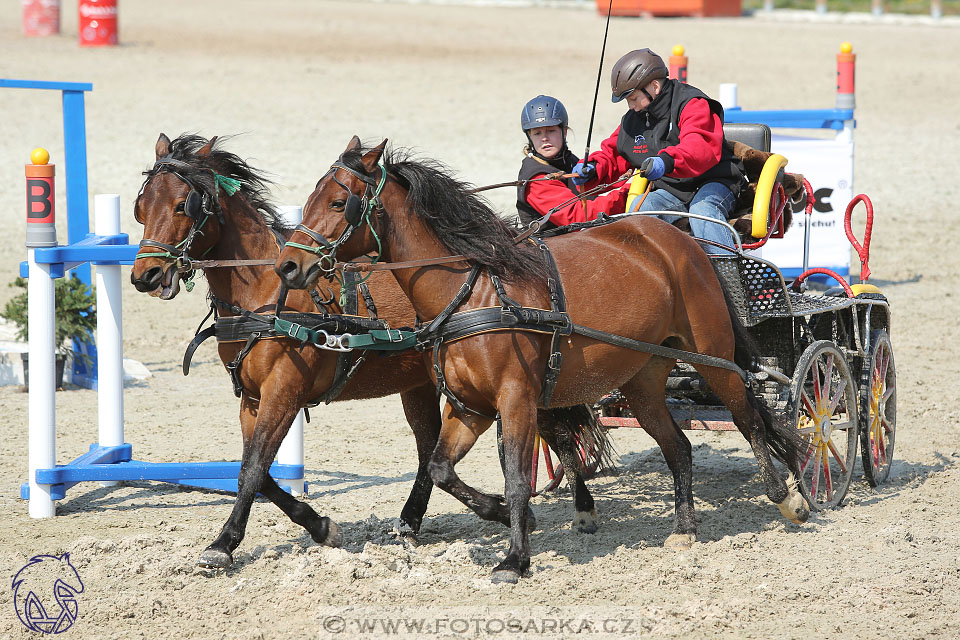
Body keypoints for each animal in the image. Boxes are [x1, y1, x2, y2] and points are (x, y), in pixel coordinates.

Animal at [130, 132, 604, 568]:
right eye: (141, 208)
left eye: (183, 206)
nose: (144, 276)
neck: (266, 296)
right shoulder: (251, 399)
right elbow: (257, 472)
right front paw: (319, 526)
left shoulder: (283, 392)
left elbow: (252, 470)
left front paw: (224, 542)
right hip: (420, 384)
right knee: (430, 452)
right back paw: (414, 520)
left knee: (557, 432)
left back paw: (580, 508)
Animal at [276, 140, 808, 584]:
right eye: (311, 197)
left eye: (337, 202)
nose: (287, 266)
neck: (474, 292)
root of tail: (682, 241)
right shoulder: (470, 407)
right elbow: (442, 469)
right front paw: (502, 516)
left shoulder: (516, 401)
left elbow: (515, 478)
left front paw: (515, 558)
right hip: (642, 380)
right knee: (678, 445)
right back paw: (684, 527)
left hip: (713, 356)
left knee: (750, 419)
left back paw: (790, 498)